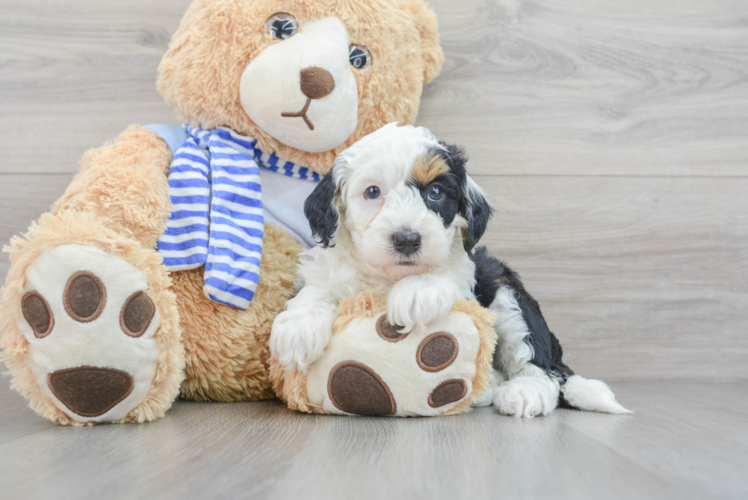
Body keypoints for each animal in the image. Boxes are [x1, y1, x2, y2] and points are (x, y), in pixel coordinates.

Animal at [272, 123, 628, 416]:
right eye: (372, 192)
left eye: (435, 192)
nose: (407, 239)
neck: (390, 277)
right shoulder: (329, 270)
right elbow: (315, 290)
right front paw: (297, 329)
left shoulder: (471, 278)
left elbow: (444, 276)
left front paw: (417, 291)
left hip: (508, 295)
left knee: (541, 368)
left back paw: (524, 392)